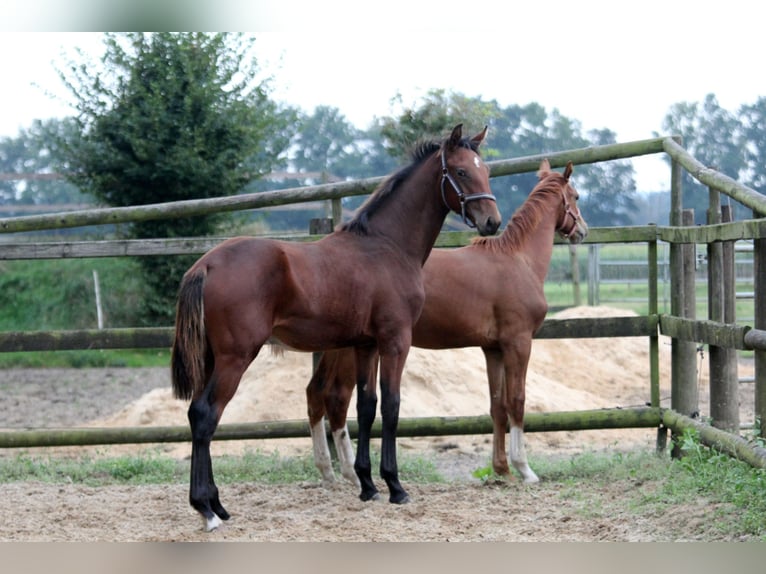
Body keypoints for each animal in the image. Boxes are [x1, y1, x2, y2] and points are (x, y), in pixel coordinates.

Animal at [172, 124, 504, 532]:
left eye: (485, 169)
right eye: (460, 171)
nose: (492, 222)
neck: (387, 246)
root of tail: (206, 264)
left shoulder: (366, 345)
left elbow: (365, 406)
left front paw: (368, 485)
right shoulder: (396, 341)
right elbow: (391, 405)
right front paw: (395, 486)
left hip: (211, 359)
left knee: (195, 415)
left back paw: (216, 505)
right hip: (235, 358)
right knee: (206, 416)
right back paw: (206, 510)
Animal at [306, 160, 588, 488]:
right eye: (576, 196)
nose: (582, 230)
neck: (519, 260)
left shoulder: (493, 349)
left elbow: (497, 406)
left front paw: (502, 469)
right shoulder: (518, 343)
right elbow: (517, 401)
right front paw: (525, 469)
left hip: (338, 347)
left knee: (317, 393)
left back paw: (331, 471)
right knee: (337, 397)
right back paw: (351, 473)